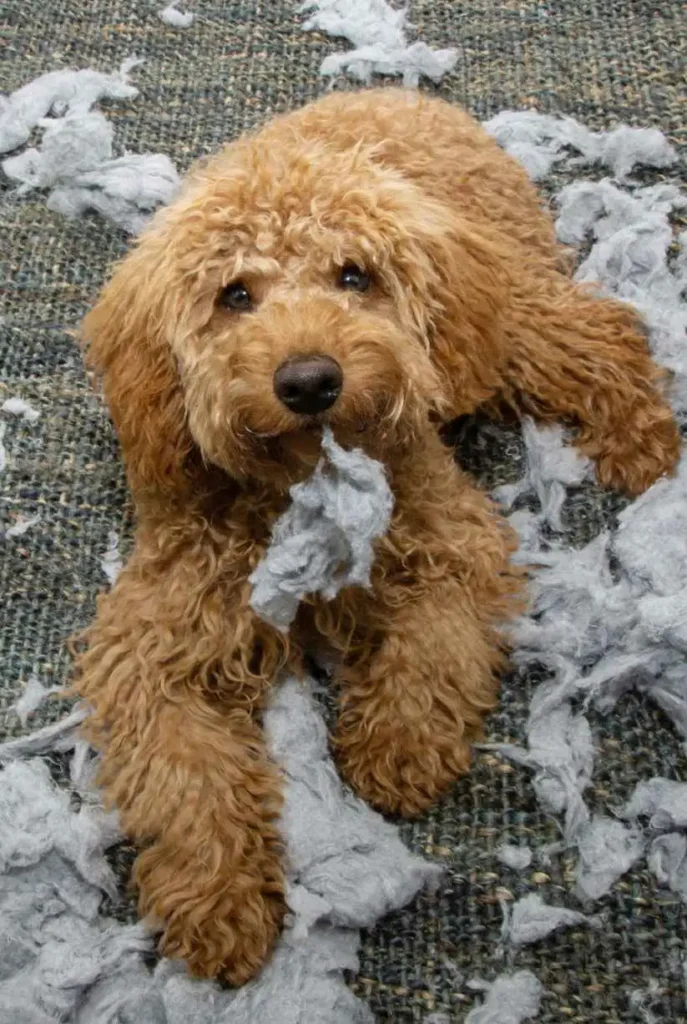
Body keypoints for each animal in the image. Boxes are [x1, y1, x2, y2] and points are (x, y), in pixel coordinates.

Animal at [72, 88, 679, 983]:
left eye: (352, 276)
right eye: (234, 295)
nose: (308, 380)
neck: (302, 487)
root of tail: (403, 95)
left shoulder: (454, 537)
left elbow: (433, 643)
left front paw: (397, 743)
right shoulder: (154, 638)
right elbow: (185, 775)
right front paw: (217, 902)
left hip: (505, 319)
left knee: (604, 331)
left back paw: (644, 444)